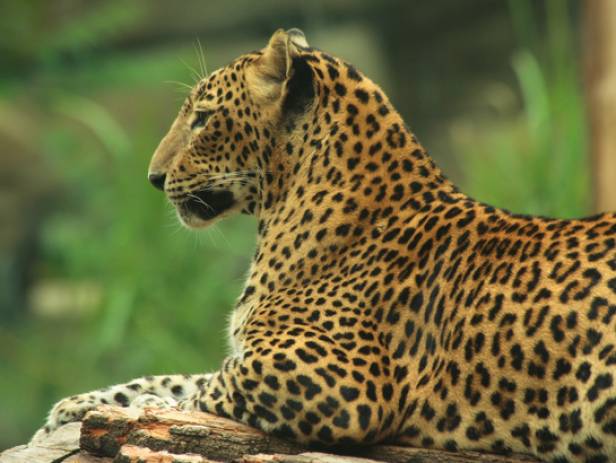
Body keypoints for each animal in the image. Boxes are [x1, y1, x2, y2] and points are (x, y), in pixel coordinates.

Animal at [31, 29, 616, 463]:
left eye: (202, 118)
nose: (153, 178)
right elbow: (179, 374)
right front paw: (75, 408)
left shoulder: (341, 380)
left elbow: (207, 387)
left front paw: (148, 411)